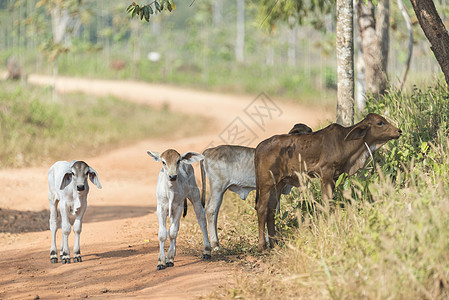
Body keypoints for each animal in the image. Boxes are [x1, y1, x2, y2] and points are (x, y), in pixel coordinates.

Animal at [254, 112, 400, 251]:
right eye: (380, 122)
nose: (399, 131)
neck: (345, 143)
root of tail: (260, 146)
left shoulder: (334, 177)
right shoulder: (326, 174)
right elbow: (326, 204)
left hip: (278, 184)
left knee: (271, 210)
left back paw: (275, 244)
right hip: (266, 183)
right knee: (261, 208)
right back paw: (262, 246)